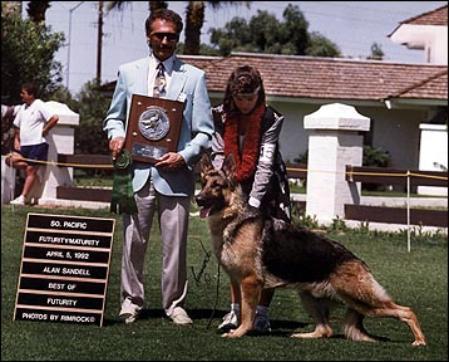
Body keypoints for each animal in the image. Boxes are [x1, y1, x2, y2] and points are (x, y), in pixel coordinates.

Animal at [194, 153, 426, 346]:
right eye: (203, 184)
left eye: (217, 186)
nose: (198, 199)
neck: (234, 218)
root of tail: (357, 261)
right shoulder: (237, 280)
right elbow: (240, 309)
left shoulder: (250, 282)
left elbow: (248, 314)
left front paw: (239, 333)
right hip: (309, 296)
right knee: (326, 330)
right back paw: (302, 335)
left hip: (362, 300)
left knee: (407, 311)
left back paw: (420, 341)